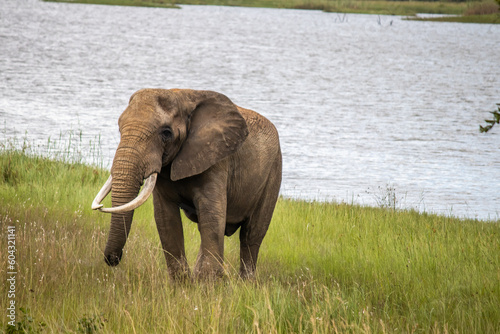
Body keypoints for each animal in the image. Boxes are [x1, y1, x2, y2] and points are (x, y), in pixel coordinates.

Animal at [92, 88, 284, 280]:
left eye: (166, 133)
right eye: (119, 128)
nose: (113, 259)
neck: (182, 96)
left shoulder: (216, 159)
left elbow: (211, 216)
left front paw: (208, 284)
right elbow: (165, 218)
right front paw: (183, 283)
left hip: (274, 171)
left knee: (251, 234)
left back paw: (246, 283)